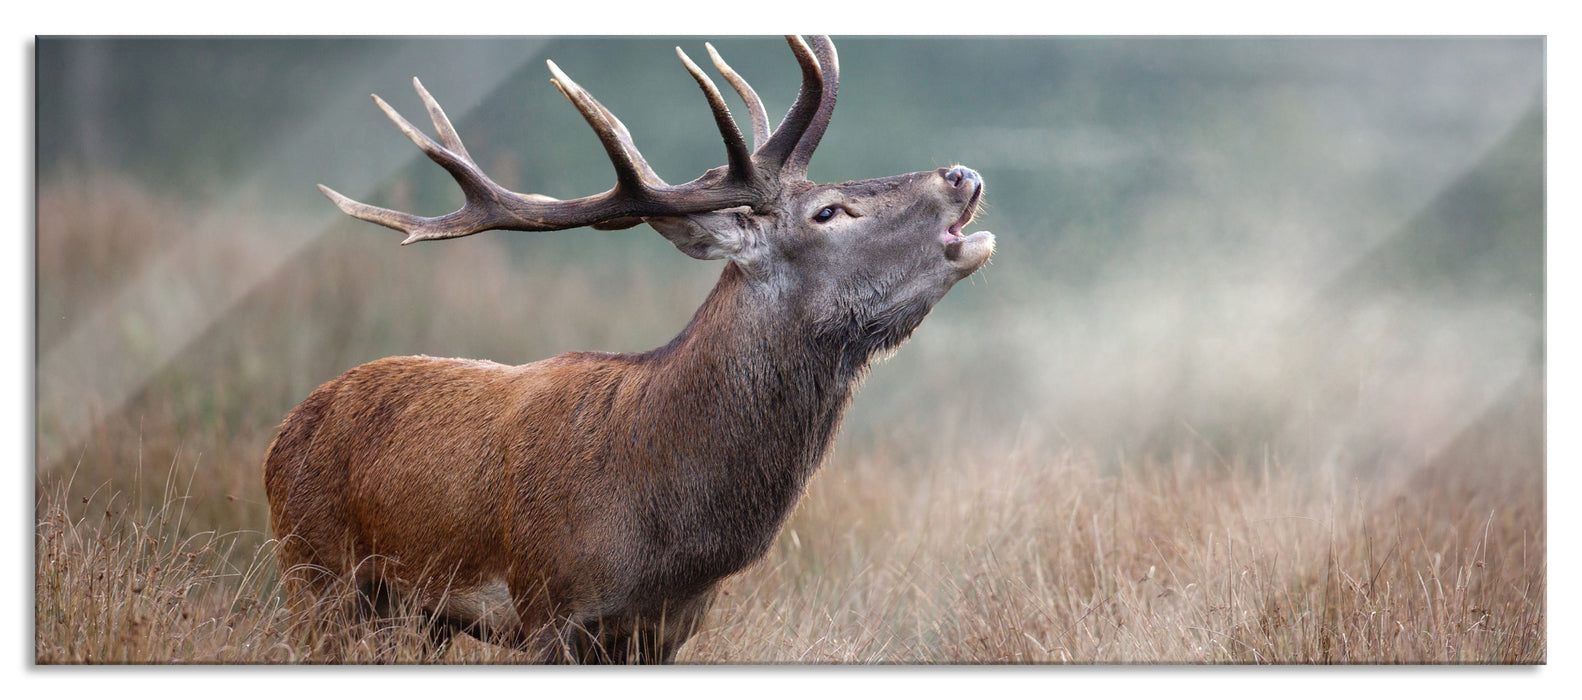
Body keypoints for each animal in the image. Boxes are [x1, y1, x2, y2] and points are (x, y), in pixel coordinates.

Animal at [264, 35, 994, 664]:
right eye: (829, 212)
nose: (960, 174)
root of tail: (283, 432)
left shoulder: (669, 629)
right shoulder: (547, 603)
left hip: (415, 615)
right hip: (315, 570)